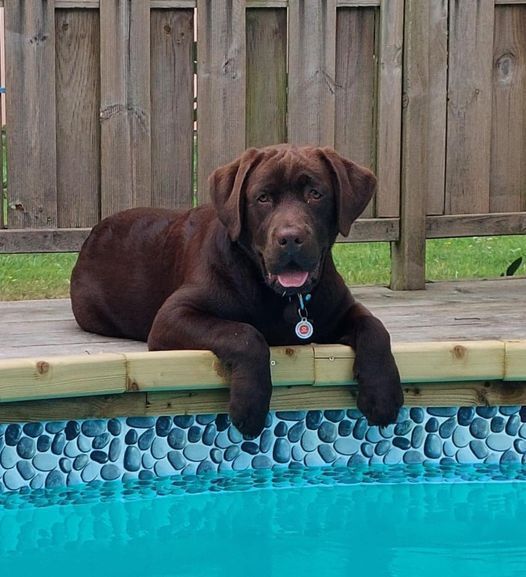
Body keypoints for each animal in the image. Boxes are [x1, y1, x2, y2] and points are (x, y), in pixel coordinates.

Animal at [71, 145, 403, 438]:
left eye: (315, 194)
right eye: (263, 198)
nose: (290, 238)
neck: (281, 299)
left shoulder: (340, 308)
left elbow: (375, 327)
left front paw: (383, 396)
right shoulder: (172, 317)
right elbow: (244, 334)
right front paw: (249, 407)